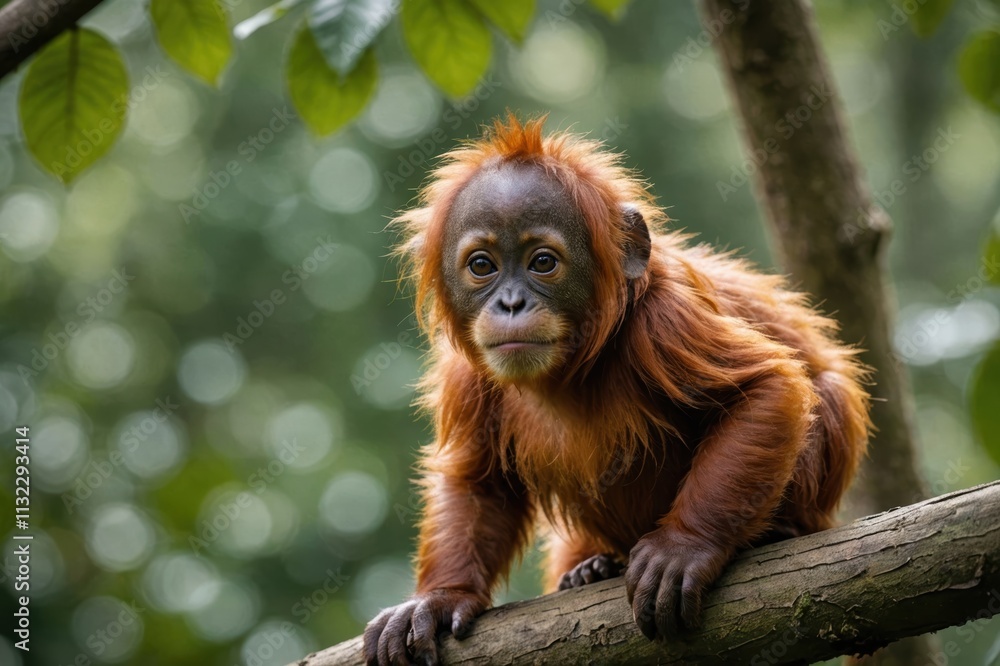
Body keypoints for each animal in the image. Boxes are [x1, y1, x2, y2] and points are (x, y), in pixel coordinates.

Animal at [363, 115, 870, 666]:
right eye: (482, 266)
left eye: (543, 262)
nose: (511, 304)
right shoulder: (467, 373)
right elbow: (478, 479)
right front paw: (441, 597)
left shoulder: (665, 320)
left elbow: (764, 388)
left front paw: (684, 547)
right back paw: (593, 566)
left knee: (824, 388)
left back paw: (778, 530)